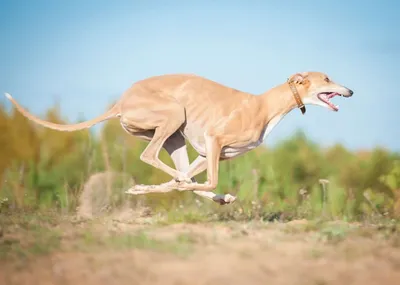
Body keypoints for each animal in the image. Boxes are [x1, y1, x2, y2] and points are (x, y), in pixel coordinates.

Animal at [4, 71, 352, 204]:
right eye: (327, 78)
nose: (350, 91)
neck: (265, 105)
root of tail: (120, 102)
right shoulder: (214, 139)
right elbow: (208, 180)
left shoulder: (210, 152)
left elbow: (198, 180)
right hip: (173, 115)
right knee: (153, 159)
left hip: (175, 137)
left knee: (179, 173)